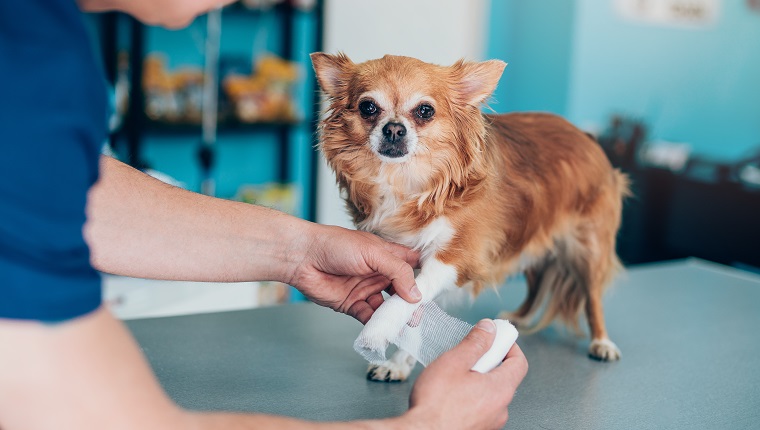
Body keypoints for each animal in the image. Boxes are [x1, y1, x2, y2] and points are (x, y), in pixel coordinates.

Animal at [310, 53, 628, 380]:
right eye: (368, 107)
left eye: (425, 111)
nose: (395, 129)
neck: (406, 181)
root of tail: (588, 138)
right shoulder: (405, 257)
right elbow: (416, 308)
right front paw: (399, 363)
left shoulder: (455, 257)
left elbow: (406, 299)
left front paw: (378, 332)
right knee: (537, 282)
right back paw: (521, 317)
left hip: (588, 249)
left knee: (592, 298)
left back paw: (602, 342)